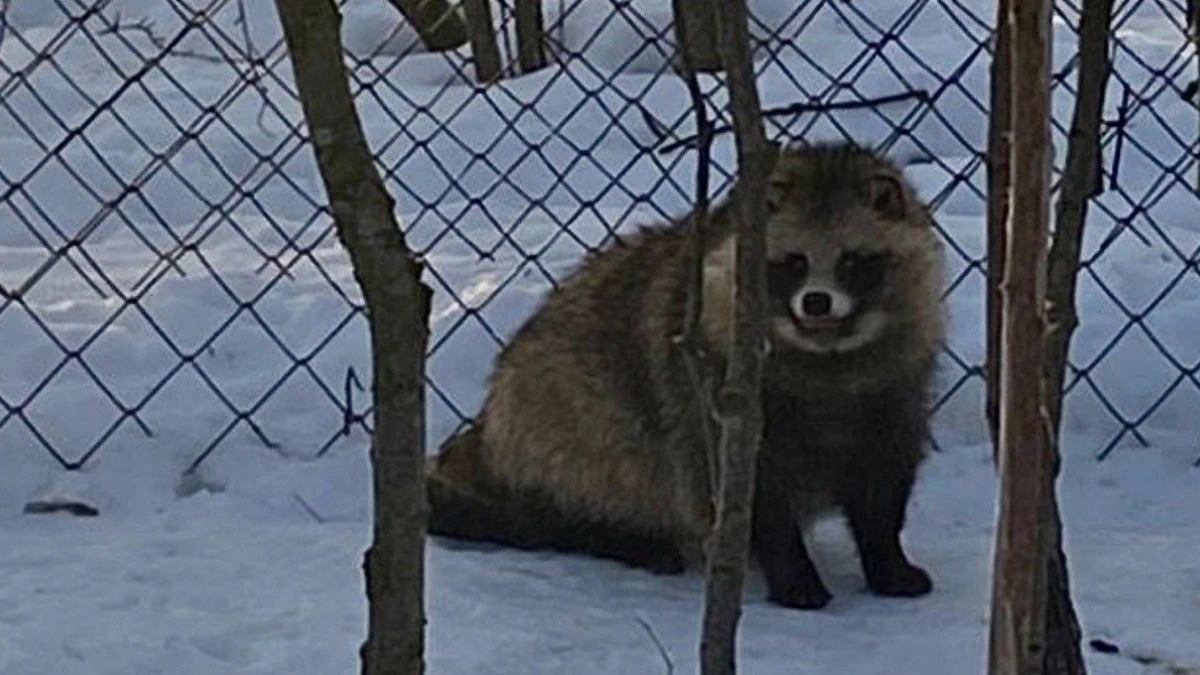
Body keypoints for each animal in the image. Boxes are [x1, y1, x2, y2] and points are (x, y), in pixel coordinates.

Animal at [432, 139, 945, 607]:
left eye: (851, 261)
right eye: (794, 263)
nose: (816, 302)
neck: (826, 358)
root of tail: (488, 434)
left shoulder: (892, 392)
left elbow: (882, 485)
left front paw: (886, 560)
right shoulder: (716, 402)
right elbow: (751, 497)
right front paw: (793, 573)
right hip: (560, 410)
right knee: (608, 461)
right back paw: (615, 534)